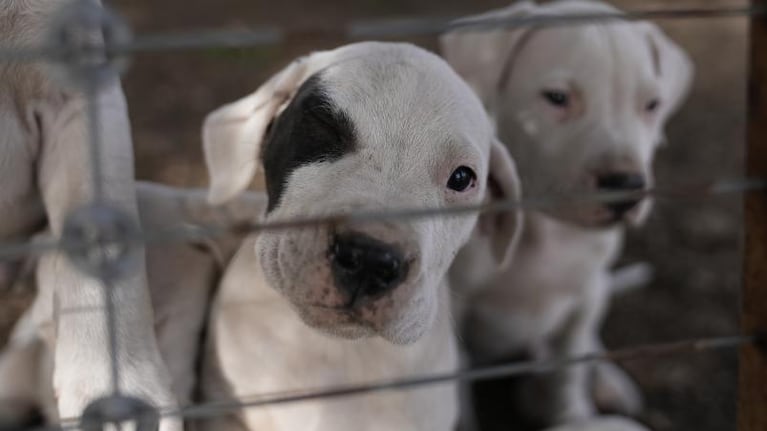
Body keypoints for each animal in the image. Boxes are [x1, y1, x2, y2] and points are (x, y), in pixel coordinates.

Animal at [440, 0, 692, 428]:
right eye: (557, 97)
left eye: (651, 105)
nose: (627, 185)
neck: (544, 228)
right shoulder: (453, 310)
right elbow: (456, 383)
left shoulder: (585, 296)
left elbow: (569, 368)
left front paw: (574, 414)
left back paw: (607, 382)